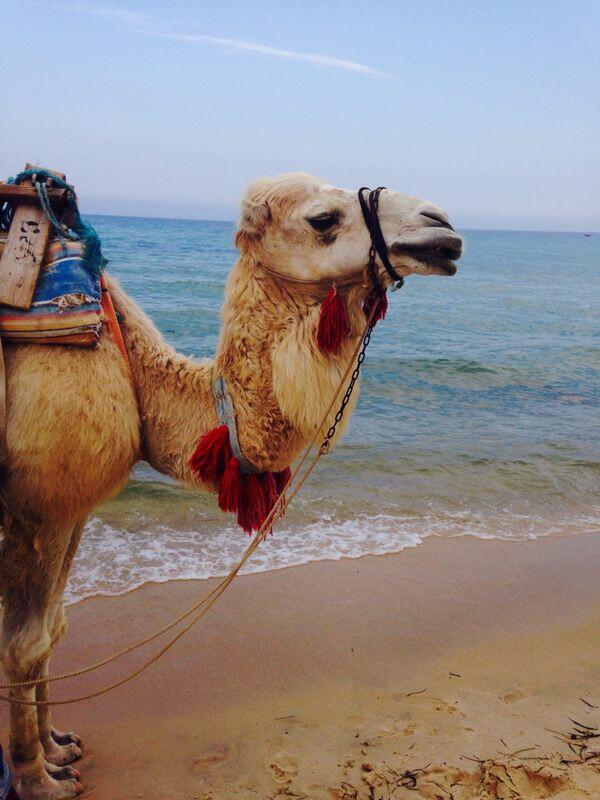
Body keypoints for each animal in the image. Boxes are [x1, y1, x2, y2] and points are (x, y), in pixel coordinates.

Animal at [0, 172, 462, 800]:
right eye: (323, 219)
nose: (443, 229)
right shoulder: (38, 504)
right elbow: (24, 644)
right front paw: (36, 781)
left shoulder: (71, 508)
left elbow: (52, 629)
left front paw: (58, 748)